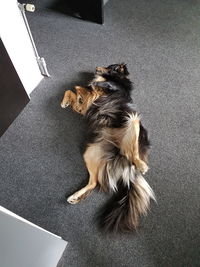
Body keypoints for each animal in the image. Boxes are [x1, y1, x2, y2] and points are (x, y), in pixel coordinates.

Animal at [60, 63, 155, 232]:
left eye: (111, 66)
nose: (96, 68)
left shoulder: (111, 89)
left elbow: (89, 86)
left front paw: (90, 85)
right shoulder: (85, 105)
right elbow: (71, 91)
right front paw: (67, 100)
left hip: (133, 121)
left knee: (133, 154)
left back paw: (141, 164)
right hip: (90, 153)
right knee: (94, 182)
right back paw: (75, 196)